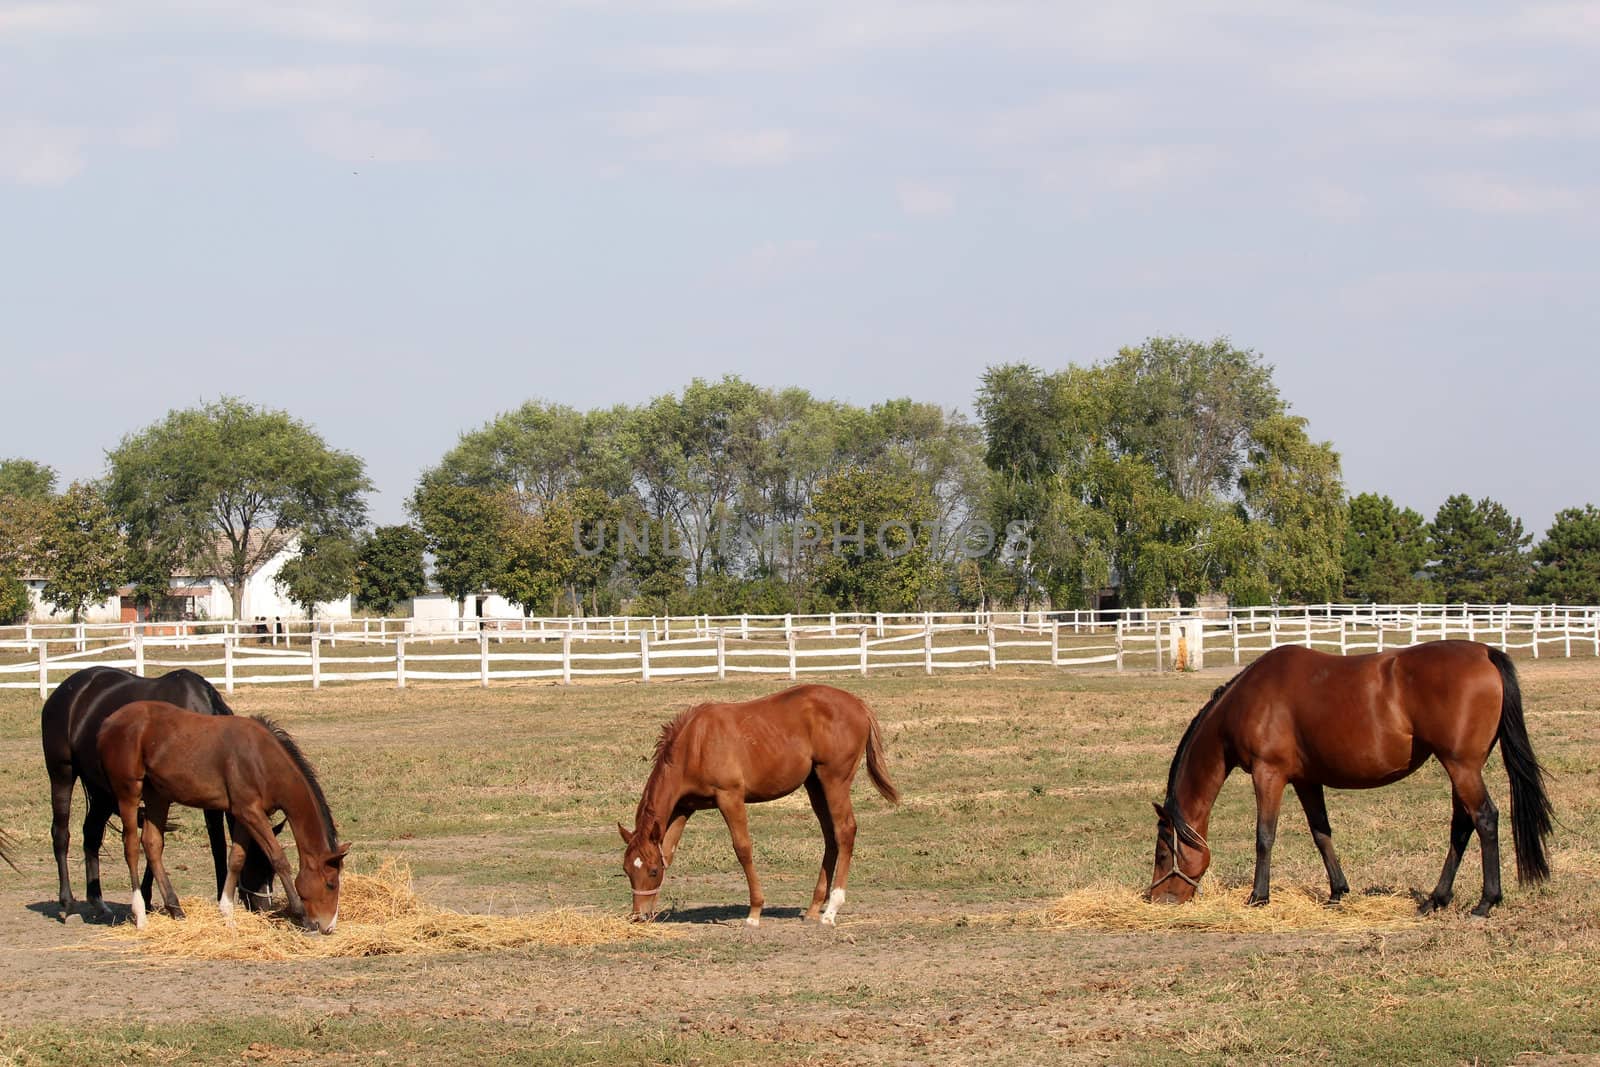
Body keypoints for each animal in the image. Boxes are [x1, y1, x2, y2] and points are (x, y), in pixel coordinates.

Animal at [41, 662, 278, 921]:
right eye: (257, 862)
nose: (265, 908)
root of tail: (65, 690)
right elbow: (213, 844)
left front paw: (147, 898)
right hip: (62, 774)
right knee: (61, 833)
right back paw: (67, 904)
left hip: (101, 790)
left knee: (91, 833)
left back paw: (98, 902)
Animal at [97, 700, 350, 934]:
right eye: (330, 884)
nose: (328, 926)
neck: (261, 759)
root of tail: (108, 722)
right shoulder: (250, 813)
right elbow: (278, 858)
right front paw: (302, 916)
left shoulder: (244, 815)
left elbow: (237, 859)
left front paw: (227, 913)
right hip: (129, 793)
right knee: (131, 847)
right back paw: (140, 916)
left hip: (157, 795)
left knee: (152, 844)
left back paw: (176, 910)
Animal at [617, 684, 902, 927]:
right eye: (627, 869)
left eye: (653, 871)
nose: (639, 915)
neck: (695, 744)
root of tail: (858, 704)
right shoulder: (684, 807)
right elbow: (669, 849)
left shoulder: (730, 797)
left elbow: (743, 848)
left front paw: (754, 912)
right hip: (815, 785)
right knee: (831, 836)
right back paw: (813, 908)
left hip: (834, 780)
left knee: (845, 831)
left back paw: (830, 911)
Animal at [1152, 643, 1548, 921]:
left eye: (1162, 854)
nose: (1157, 898)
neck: (1248, 700)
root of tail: (1485, 653)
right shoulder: (1306, 781)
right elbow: (1321, 834)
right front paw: (1337, 892)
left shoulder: (1270, 775)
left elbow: (1265, 836)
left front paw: (1258, 896)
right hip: (1460, 768)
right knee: (1462, 826)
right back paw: (1435, 900)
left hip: (1461, 766)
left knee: (1485, 818)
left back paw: (1485, 902)